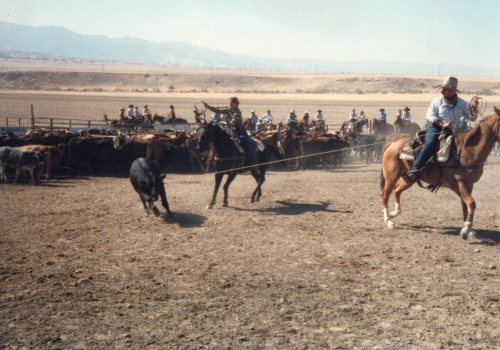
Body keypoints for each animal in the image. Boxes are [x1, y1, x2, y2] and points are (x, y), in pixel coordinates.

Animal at [378, 105, 500, 239]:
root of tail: (392, 144)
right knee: (384, 195)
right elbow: (471, 203)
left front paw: (470, 230)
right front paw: (465, 230)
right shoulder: (458, 184)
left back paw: (394, 213)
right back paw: (389, 221)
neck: (467, 152)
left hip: (408, 179)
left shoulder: (469, 185)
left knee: (397, 191)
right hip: (391, 177)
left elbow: (465, 205)